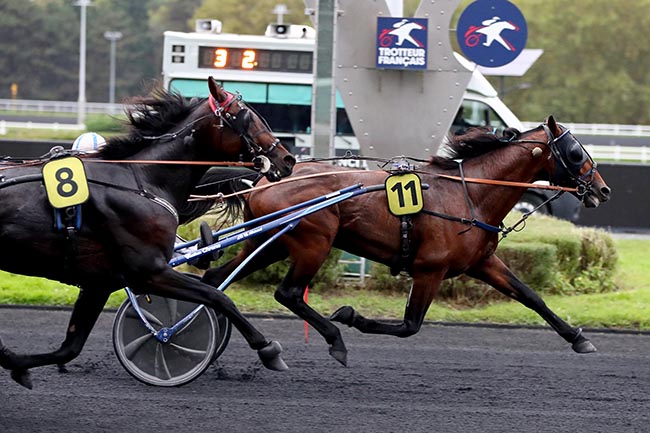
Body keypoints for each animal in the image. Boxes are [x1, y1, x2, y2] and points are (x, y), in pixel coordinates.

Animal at [0, 76, 294, 386]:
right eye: (246, 115)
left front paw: (15, 364)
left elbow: (70, 348)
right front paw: (267, 348)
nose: (287, 159)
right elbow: (219, 297)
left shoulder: (99, 282)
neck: (141, 181)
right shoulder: (149, 272)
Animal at [204, 115, 612, 364]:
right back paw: (333, 338)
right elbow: (409, 325)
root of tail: (263, 178)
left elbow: (530, 296)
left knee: (216, 280)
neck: (469, 194)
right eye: (576, 153)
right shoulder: (429, 269)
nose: (603, 190)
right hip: (313, 242)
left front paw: (578, 337)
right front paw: (352, 316)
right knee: (288, 293)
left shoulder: (482, 262)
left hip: (271, 243)